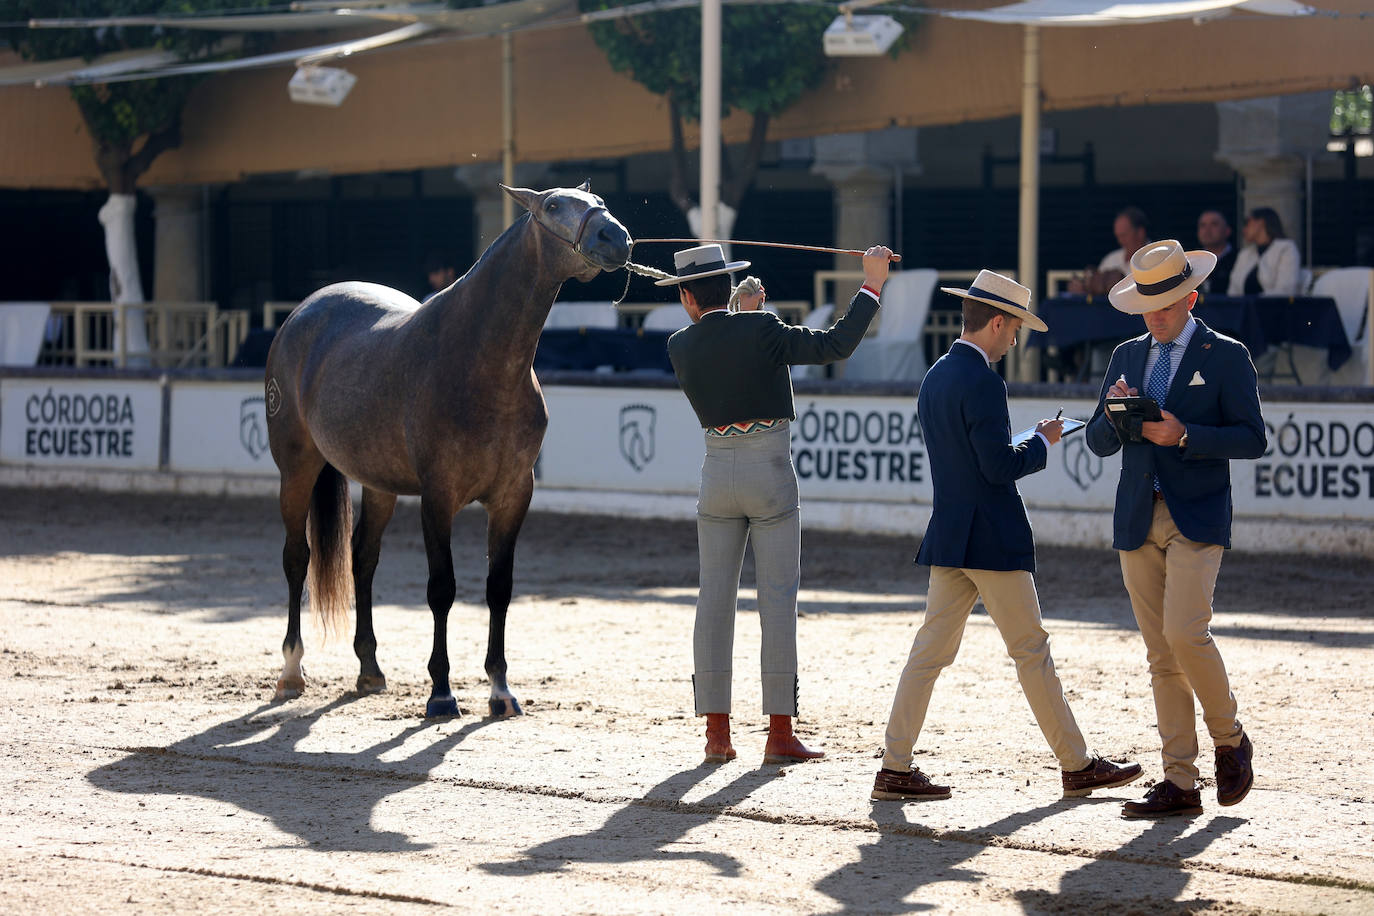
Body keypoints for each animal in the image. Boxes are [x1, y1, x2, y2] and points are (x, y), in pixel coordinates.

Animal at [262, 184, 632, 714]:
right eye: (553, 207)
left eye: (599, 202)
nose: (615, 238)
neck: (481, 364)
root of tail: (301, 314)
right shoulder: (438, 497)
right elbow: (442, 589)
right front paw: (440, 692)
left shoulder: (513, 496)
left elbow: (499, 589)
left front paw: (500, 689)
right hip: (296, 468)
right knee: (297, 557)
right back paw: (292, 671)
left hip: (379, 483)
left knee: (362, 557)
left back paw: (370, 669)